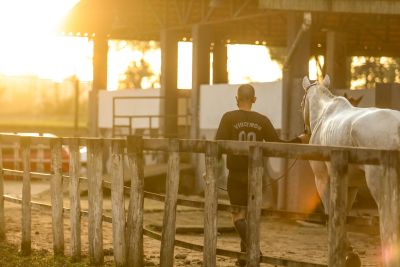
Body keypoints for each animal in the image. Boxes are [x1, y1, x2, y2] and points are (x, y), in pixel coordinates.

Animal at [302, 75, 400, 267]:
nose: (304, 131)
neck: (324, 114)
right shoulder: (351, 185)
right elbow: (343, 214)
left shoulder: (322, 179)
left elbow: (331, 214)